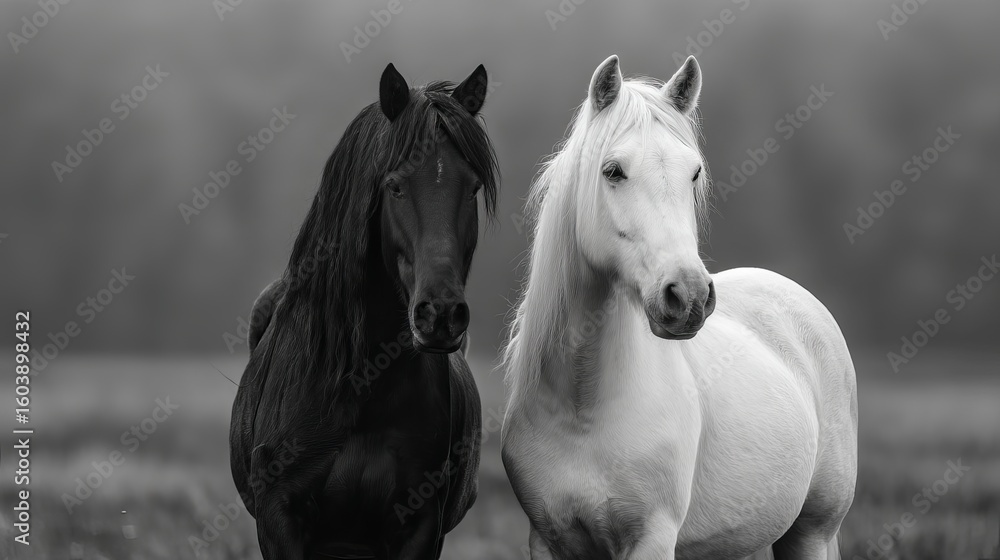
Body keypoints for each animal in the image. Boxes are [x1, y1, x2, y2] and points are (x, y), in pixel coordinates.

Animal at [229, 62, 500, 560]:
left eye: (472, 187)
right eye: (394, 185)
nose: (440, 314)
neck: (361, 386)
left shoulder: (420, 524)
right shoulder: (279, 520)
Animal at [500, 55, 857, 560]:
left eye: (695, 173)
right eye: (613, 170)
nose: (688, 296)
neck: (582, 409)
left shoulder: (651, 538)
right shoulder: (548, 540)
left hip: (813, 531)